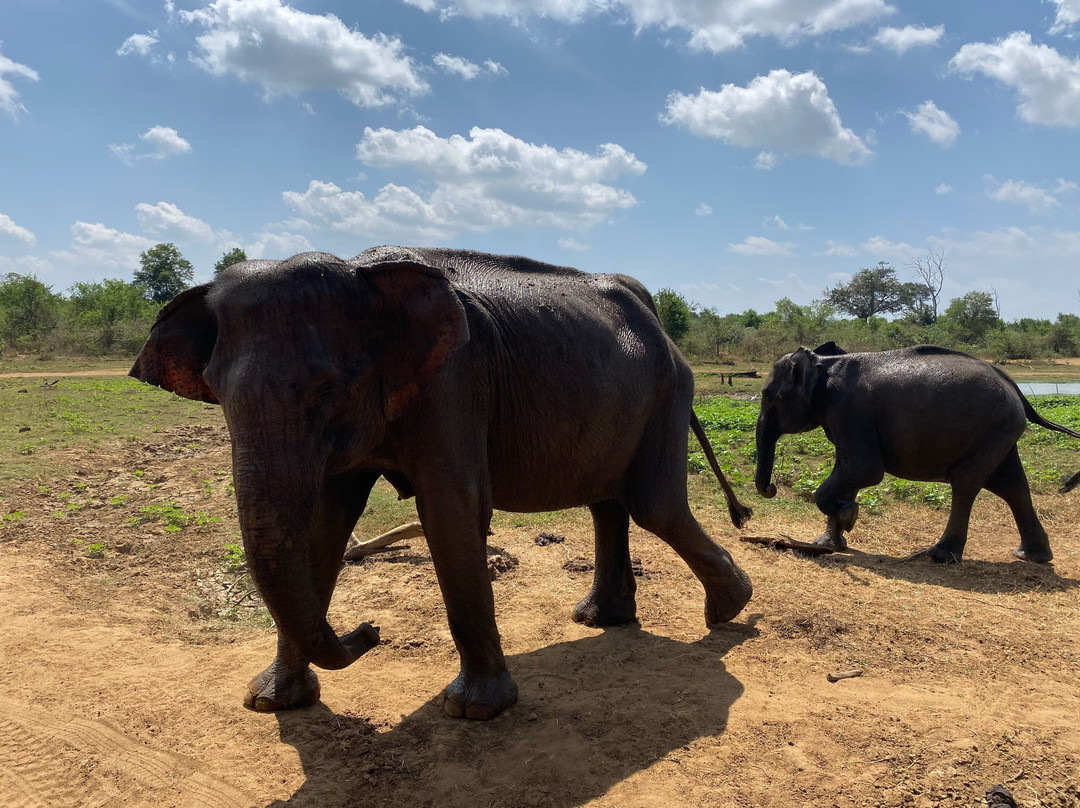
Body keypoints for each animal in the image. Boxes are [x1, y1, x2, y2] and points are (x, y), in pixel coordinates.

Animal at [129, 246, 754, 720]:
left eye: (326, 389)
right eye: (215, 391)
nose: (370, 630)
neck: (363, 275)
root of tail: (658, 320)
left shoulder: (454, 382)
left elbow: (451, 511)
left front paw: (474, 711)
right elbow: (324, 525)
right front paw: (270, 702)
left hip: (668, 392)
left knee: (653, 505)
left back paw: (729, 609)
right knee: (609, 503)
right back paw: (606, 619)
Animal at [753, 342, 1080, 564]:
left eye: (768, 397)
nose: (771, 488)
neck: (824, 362)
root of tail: (1015, 387)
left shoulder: (848, 411)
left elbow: (864, 470)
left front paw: (849, 516)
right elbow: (849, 470)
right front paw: (829, 542)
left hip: (994, 427)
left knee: (967, 482)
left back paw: (939, 555)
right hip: (1001, 430)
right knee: (1012, 486)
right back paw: (1031, 556)